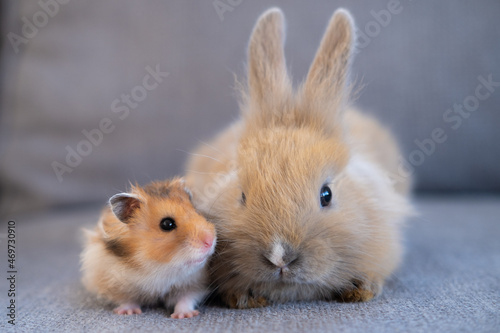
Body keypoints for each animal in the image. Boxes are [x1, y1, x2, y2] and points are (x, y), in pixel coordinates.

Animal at [80, 178, 215, 318]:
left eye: (197, 211)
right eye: (167, 224)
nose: (210, 241)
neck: (157, 266)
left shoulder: (193, 283)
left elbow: (185, 299)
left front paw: (184, 315)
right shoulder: (113, 282)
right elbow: (126, 300)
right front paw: (128, 312)